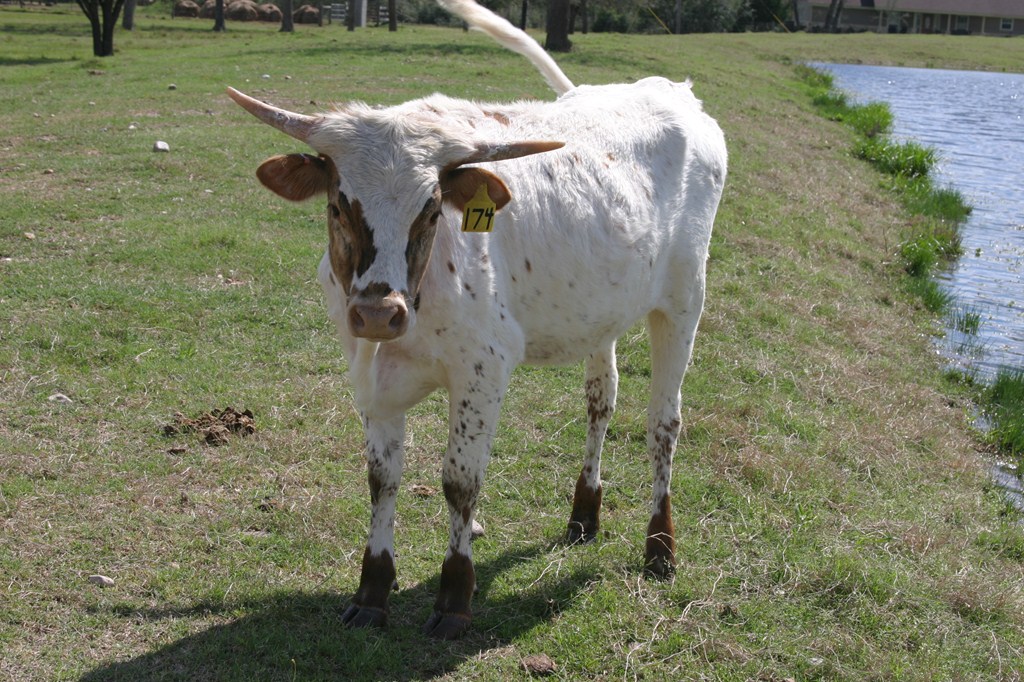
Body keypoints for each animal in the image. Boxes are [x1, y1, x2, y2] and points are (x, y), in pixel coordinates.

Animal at [227, 0, 727, 639]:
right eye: (338, 206)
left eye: (431, 209)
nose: (378, 313)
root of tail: (672, 91)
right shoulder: (370, 374)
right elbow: (382, 478)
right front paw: (372, 591)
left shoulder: (484, 369)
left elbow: (460, 482)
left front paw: (453, 599)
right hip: (603, 311)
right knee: (602, 399)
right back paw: (584, 515)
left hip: (684, 303)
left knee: (664, 423)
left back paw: (660, 547)